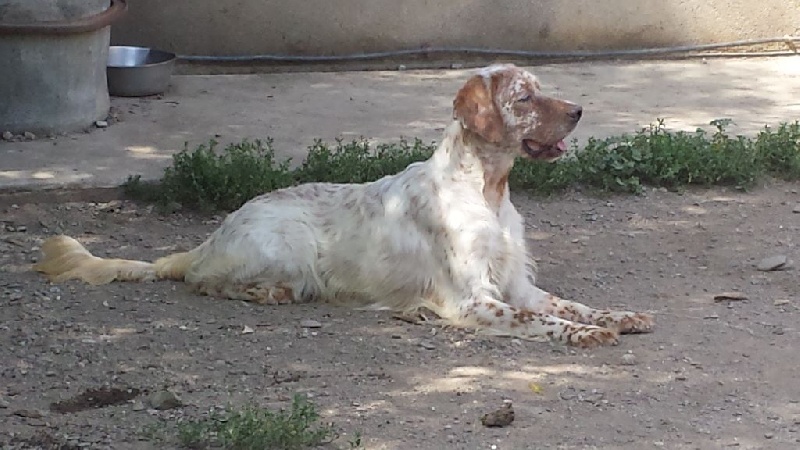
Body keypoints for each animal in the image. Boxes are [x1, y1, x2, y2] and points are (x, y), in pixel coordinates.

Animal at [34, 63, 652, 348]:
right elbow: (540, 319)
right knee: (206, 282)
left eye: (541, 89)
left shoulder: (517, 283)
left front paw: (619, 315)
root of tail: (209, 238)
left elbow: (569, 304)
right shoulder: (473, 299)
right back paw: (270, 292)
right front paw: (583, 335)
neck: (486, 188)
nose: (579, 111)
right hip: (287, 245)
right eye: (524, 97)